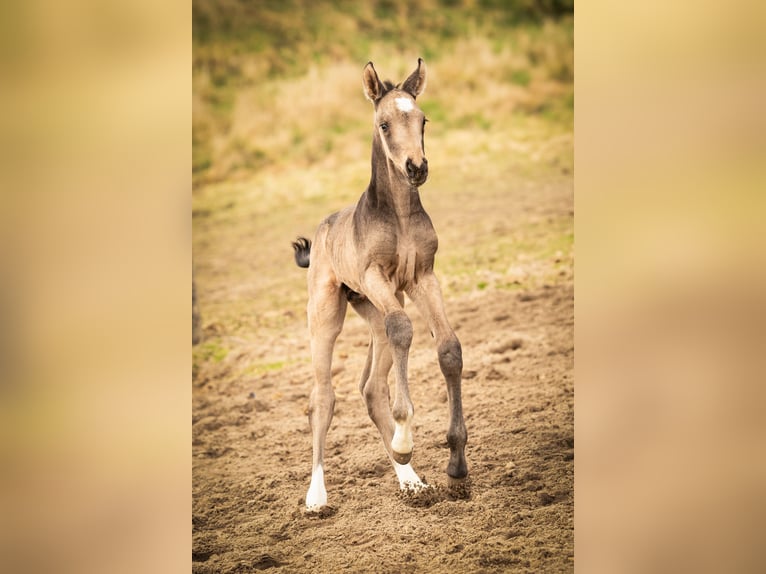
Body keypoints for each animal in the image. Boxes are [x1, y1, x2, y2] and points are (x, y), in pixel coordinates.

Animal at [292, 59, 468, 512]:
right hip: (326, 312)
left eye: (423, 120)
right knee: (322, 397)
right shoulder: (376, 276)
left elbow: (448, 347)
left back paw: (411, 480)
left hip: (373, 309)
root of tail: (322, 229)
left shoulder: (422, 277)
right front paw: (407, 440)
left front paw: (456, 466)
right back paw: (317, 495)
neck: (400, 216)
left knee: (371, 387)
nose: (416, 168)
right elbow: (405, 328)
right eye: (384, 124)